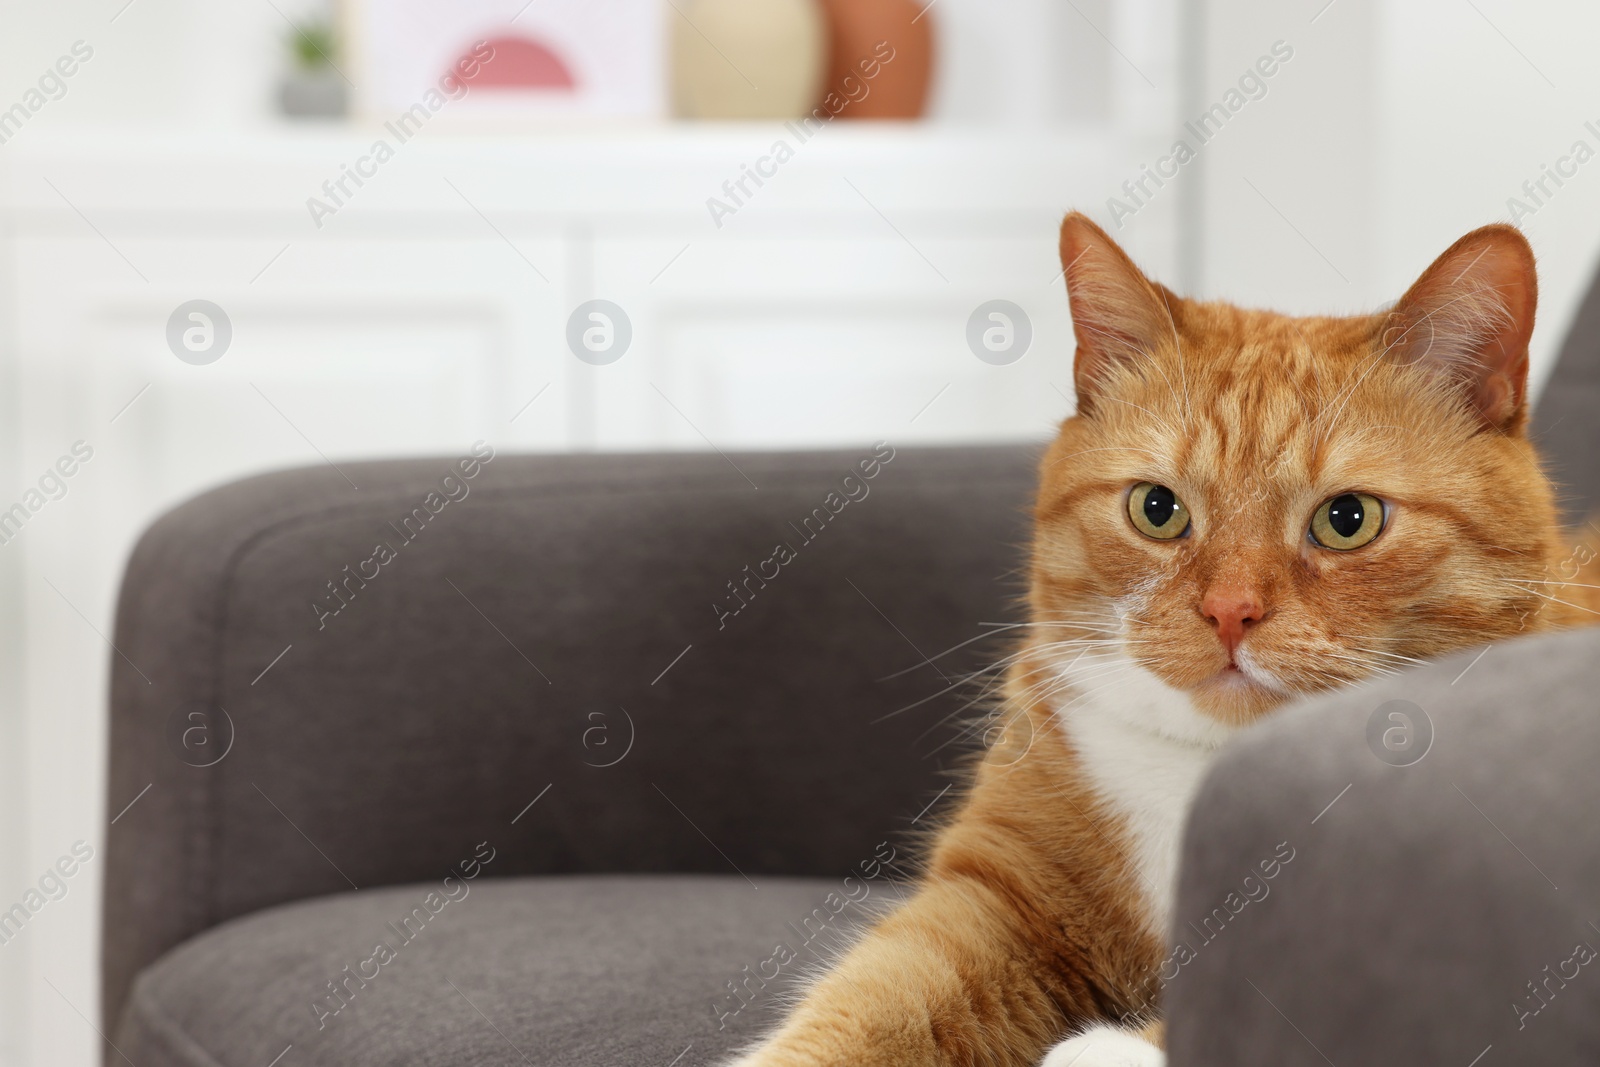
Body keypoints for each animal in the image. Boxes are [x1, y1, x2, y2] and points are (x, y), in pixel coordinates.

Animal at [729, 212, 1600, 1062]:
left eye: (1348, 519)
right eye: (1157, 509)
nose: (1230, 610)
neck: (1201, 771)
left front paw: (1108, 1048)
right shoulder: (995, 896)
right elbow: (874, 1001)